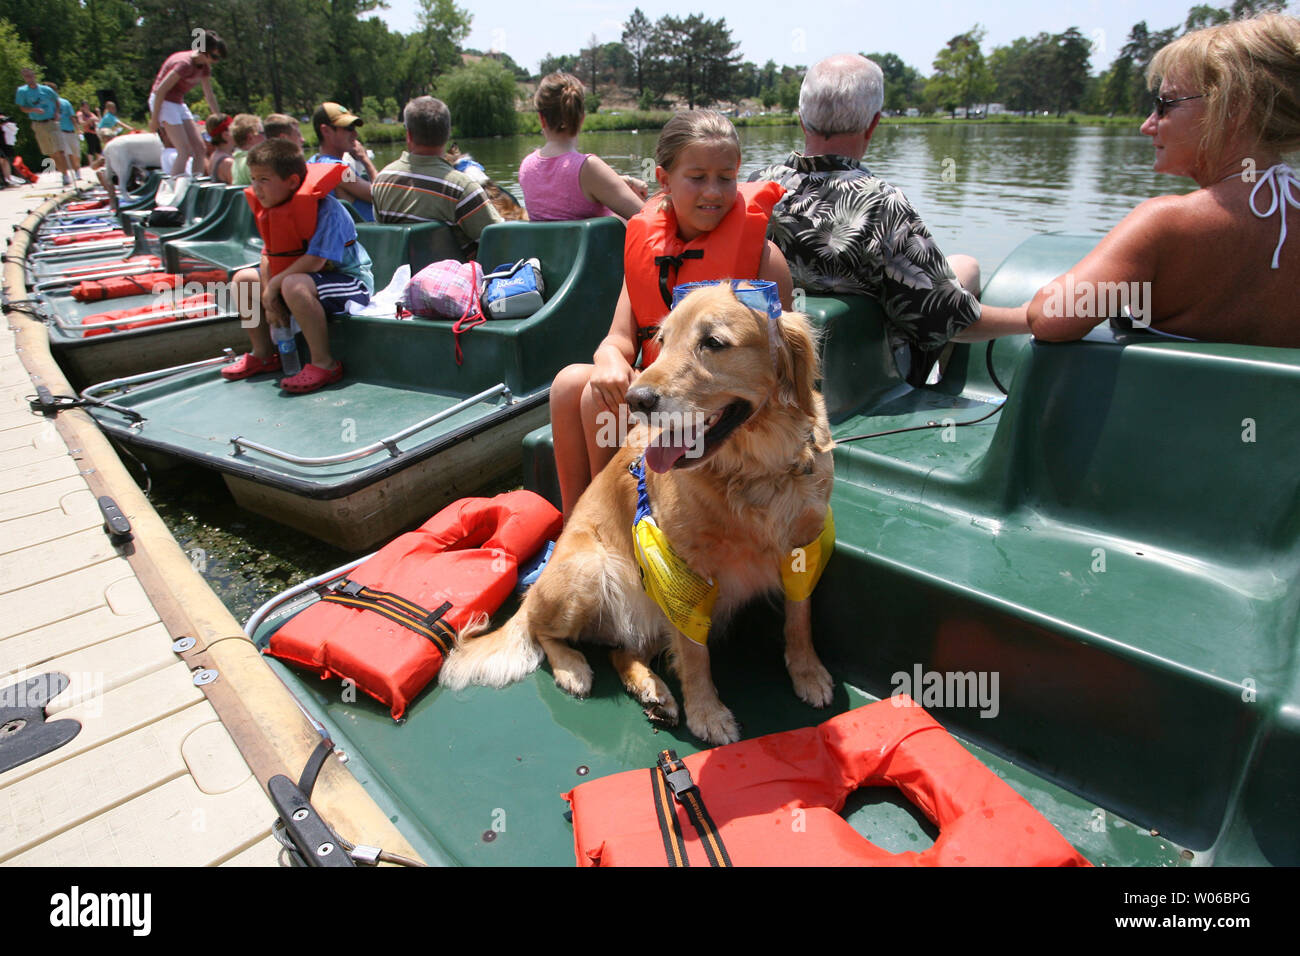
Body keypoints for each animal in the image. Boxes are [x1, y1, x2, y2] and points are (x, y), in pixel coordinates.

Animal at [441, 280, 837, 743]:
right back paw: (575, 669)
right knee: (544, 633)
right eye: (662, 341)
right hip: (589, 568)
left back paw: (653, 690)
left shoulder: (803, 547)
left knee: (621, 652)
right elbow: (694, 653)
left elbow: (799, 617)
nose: (636, 398)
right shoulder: (681, 568)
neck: (752, 472)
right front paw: (707, 712)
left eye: (713, 343)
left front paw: (807, 672)